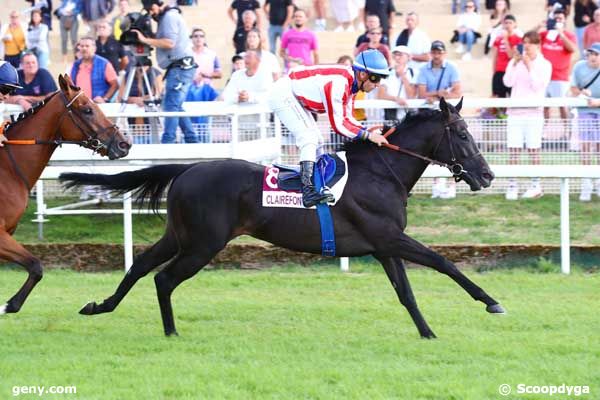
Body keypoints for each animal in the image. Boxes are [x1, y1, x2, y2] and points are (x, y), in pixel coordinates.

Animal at [0, 73, 131, 314]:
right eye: (87, 109)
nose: (124, 144)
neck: (8, 169)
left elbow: (35, 267)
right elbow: (36, 266)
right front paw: (7, 305)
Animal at [62, 97, 502, 338]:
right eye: (463, 135)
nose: (487, 175)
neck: (380, 173)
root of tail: (188, 168)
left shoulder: (383, 246)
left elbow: (406, 293)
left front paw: (427, 333)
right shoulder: (389, 237)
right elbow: (444, 262)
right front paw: (492, 302)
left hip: (180, 235)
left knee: (140, 267)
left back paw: (99, 306)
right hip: (204, 243)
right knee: (164, 278)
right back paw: (171, 331)